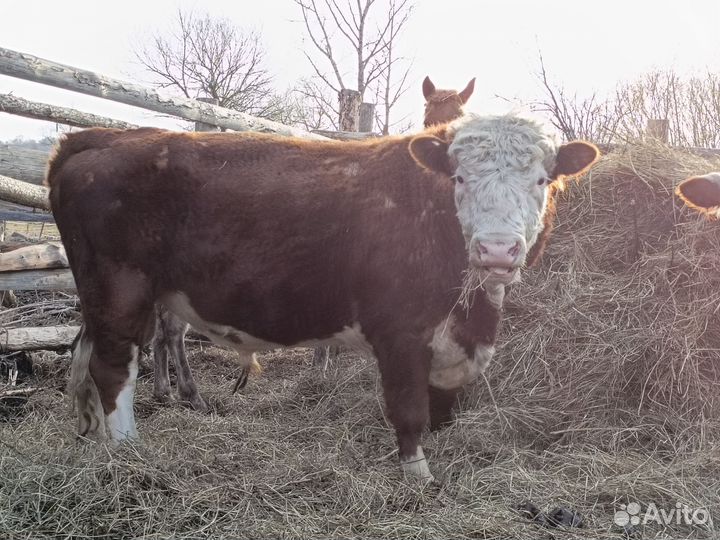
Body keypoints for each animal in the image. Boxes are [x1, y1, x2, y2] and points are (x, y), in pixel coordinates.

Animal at [47, 114, 598, 481]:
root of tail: (103, 136)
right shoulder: (399, 332)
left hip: (109, 299)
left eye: (542, 179)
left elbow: (443, 404)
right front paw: (417, 478)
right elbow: (409, 410)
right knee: (114, 369)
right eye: (460, 178)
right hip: (120, 291)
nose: (497, 249)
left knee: (87, 358)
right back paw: (126, 450)